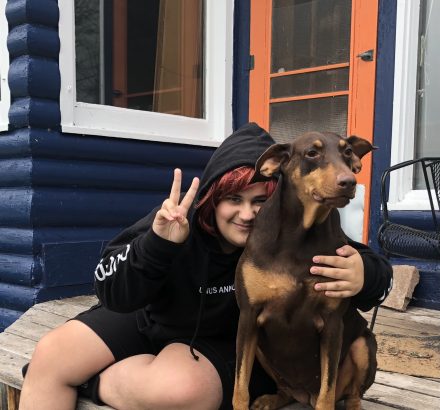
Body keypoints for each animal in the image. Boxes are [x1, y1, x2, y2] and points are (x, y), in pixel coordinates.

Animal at [234, 132, 378, 410]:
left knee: (352, 394)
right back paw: (271, 399)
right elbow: (240, 387)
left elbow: (327, 393)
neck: (299, 235)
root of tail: (304, 394)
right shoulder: (248, 315)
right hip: (263, 352)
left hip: (364, 344)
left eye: (347, 152)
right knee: (285, 389)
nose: (349, 181)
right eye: (312, 153)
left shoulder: (333, 324)